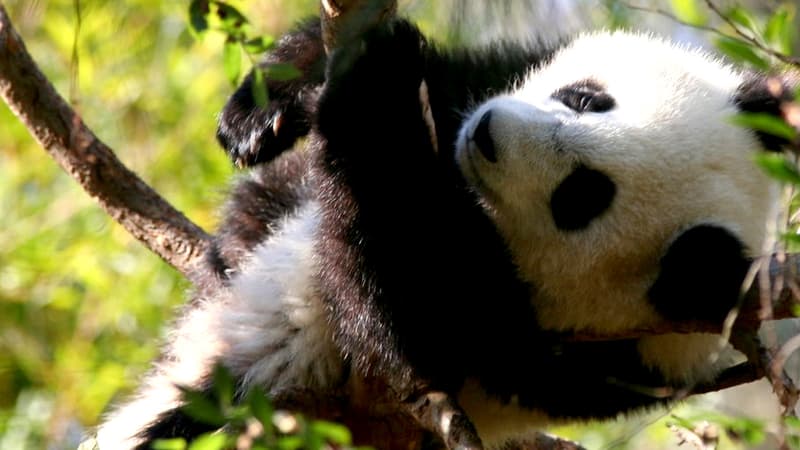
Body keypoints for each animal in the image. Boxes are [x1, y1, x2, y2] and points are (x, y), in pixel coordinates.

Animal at [93, 15, 796, 450]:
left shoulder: (533, 348)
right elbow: (448, 69)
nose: (486, 133)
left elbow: (394, 306)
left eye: (581, 196)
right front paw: (267, 105)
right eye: (587, 98)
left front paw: (376, 81)